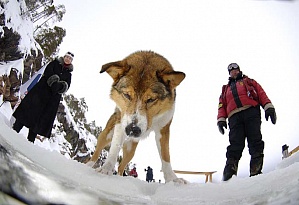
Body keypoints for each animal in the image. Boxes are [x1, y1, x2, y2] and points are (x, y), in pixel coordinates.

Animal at [86, 50, 185, 183]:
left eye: (151, 99)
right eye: (127, 95)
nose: (132, 129)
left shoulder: (163, 130)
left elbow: (165, 156)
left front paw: (172, 179)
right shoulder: (120, 124)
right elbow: (114, 148)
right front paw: (106, 169)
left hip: (130, 150)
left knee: (121, 166)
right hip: (106, 135)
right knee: (97, 152)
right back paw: (87, 165)